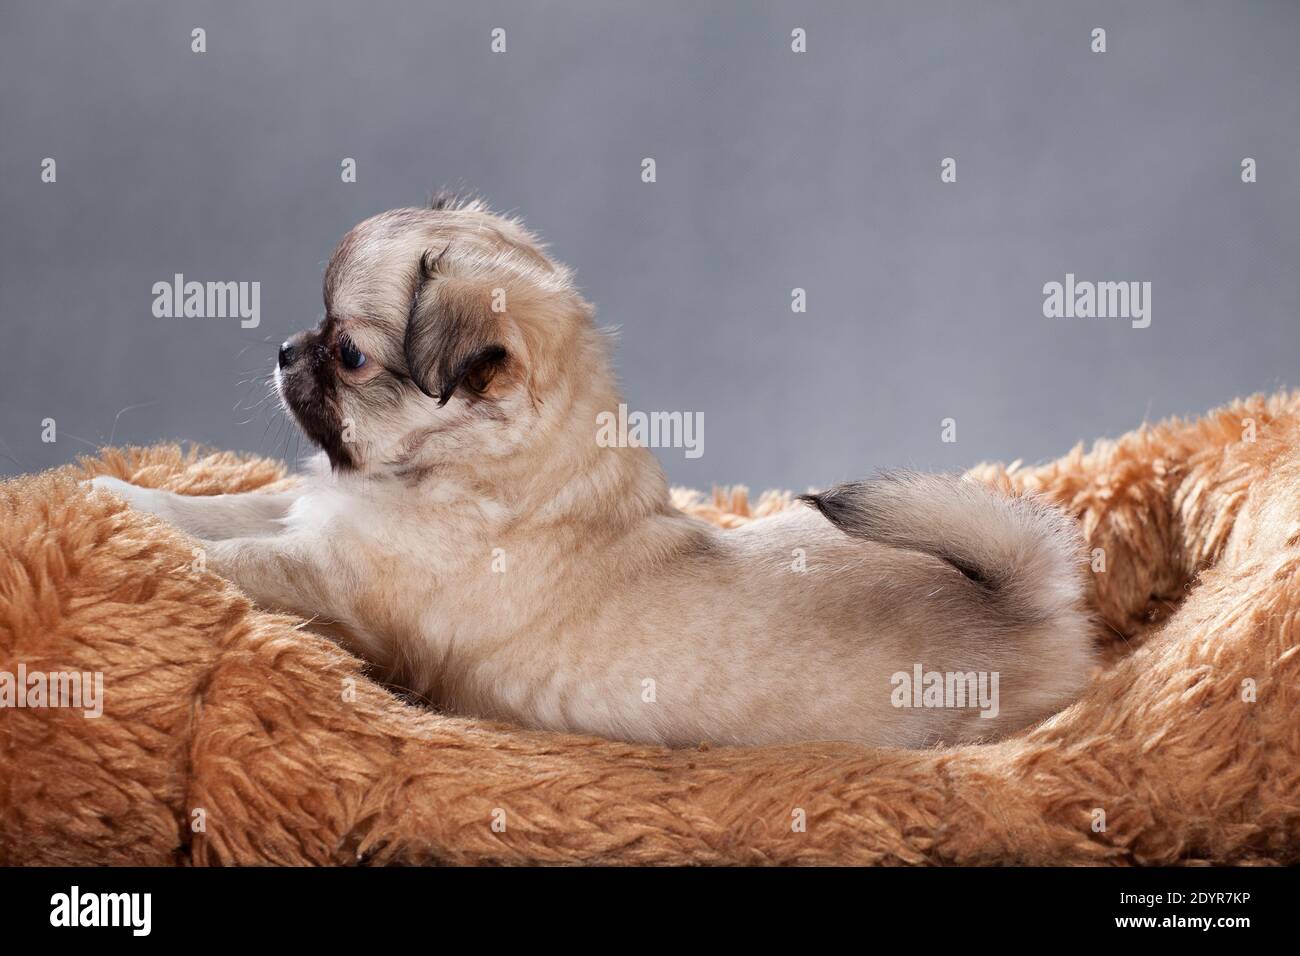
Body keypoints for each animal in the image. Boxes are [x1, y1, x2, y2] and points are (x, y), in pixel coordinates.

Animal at [89, 196, 1097, 749]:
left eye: (348, 355)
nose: (285, 348)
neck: (463, 469)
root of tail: (1024, 603)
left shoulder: (333, 580)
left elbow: (242, 559)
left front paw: (146, 535)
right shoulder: (316, 517)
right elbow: (231, 507)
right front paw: (120, 494)